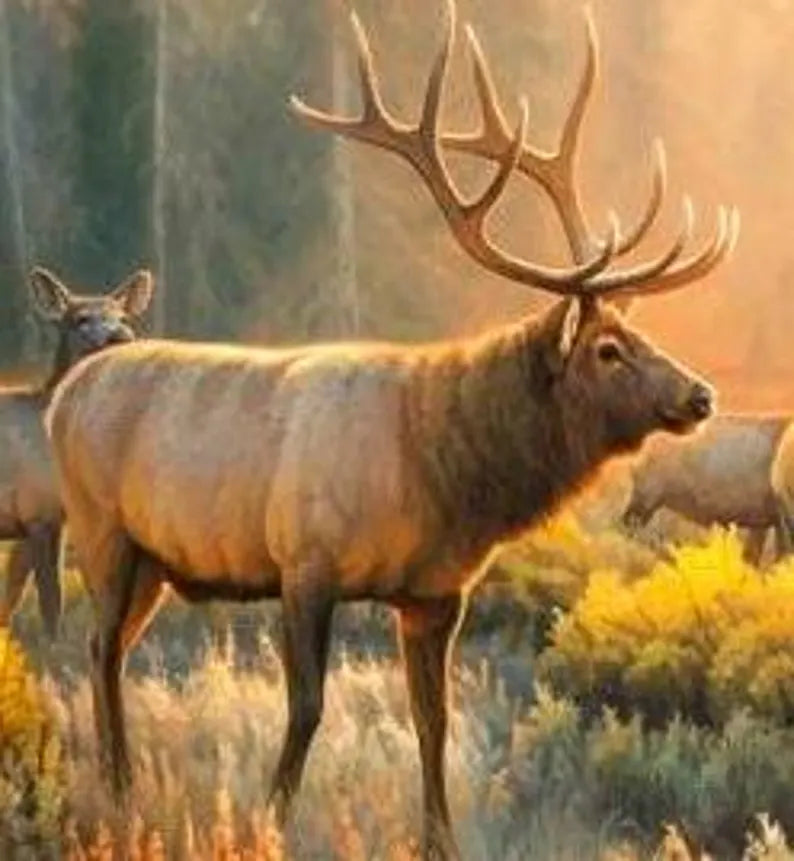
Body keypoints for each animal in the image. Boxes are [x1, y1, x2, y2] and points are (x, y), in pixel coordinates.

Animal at [0, 267, 153, 638]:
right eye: (80, 318)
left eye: (122, 316)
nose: (122, 335)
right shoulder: (39, 511)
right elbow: (51, 606)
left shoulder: (39, 519)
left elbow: (10, 601)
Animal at [44, 3, 738, 858]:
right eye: (608, 348)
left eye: (638, 335)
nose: (701, 395)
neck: (442, 473)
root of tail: (63, 395)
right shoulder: (304, 563)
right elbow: (307, 706)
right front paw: (270, 818)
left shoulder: (436, 592)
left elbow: (433, 720)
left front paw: (441, 837)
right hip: (101, 531)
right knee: (97, 647)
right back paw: (118, 786)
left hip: (155, 562)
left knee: (111, 649)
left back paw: (125, 782)